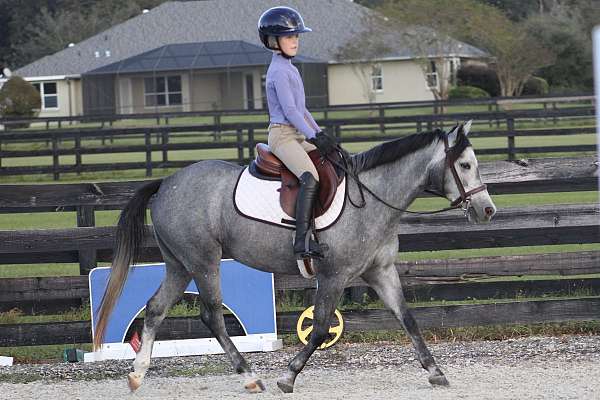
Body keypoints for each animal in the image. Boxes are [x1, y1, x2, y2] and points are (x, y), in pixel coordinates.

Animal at [94, 122, 496, 394]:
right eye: (464, 166)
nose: (487, 210)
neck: (372, 198)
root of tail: (167, 182)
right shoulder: (334, 276)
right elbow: (319, 329)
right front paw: (288, 376)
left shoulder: (380, 272)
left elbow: (408, 319)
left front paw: (435, 371)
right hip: (204, 262)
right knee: (212, 316)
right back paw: (249, 376)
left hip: (181, 265)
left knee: (155, 308)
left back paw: (137, 374)